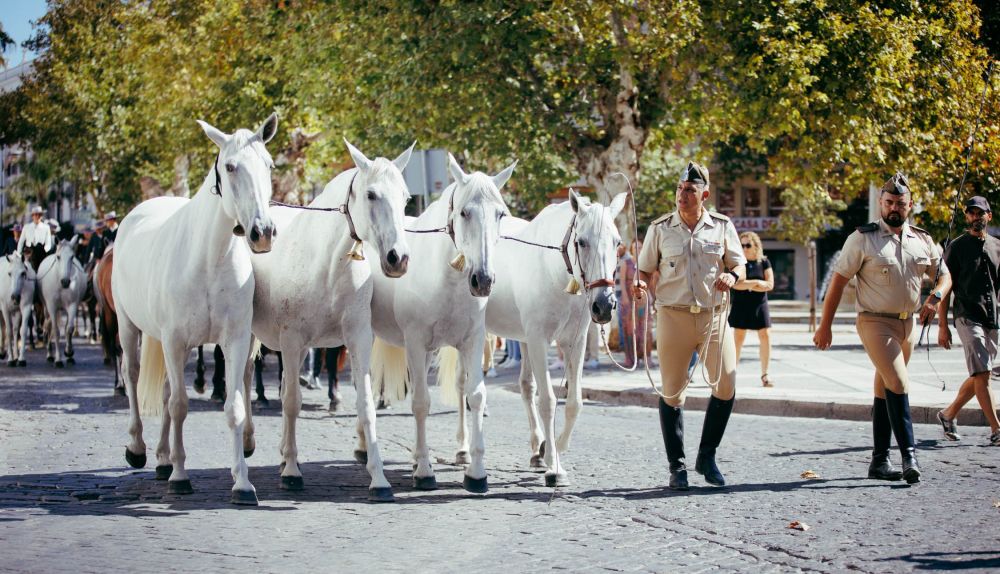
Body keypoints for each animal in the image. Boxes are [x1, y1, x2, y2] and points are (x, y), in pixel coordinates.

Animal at [38, 237, 87, 368]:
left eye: (72, 257)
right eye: (58, 257)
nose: (65, 281)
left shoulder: (73, 305)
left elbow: (69, 329)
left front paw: (69, 352)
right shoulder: (52, 306)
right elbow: (55, 330)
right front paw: (58, 360)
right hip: (46, 308)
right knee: (48, 325)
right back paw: (49, 354)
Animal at [113, 113, 278, 505]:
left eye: (269, 165)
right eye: (230, 167)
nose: (262, 231)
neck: (207, 260)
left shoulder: (234, 340)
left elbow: (232, 406)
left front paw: (242, 483)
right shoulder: (174, 341)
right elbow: (179, 406)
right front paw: (180, 476)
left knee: (166, 390)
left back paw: (162, 457)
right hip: (129, 326)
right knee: (133, 375)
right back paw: (139, 449)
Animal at [248, 140, 413, 500]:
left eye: (406, 197)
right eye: (371, 194)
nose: (399, 258)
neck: (326, 265)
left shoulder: (358, 338)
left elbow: (365, 404)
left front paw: (379, 478)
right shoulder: (292, 340)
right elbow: (291, 402)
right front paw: (292, 473)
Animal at [369, 154, 515, 493]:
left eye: (500, 213)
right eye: (464, 212)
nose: (483, 280)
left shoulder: (472, 340)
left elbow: (475, 395)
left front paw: (476, 473)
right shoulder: (415, 342)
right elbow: (421, 402)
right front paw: (424, 471)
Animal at [439, 191, 626, 486]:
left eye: (618, 243)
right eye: (581, 242)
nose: (605, 305)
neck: (553, 273)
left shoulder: (575, 342)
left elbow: (574, 402)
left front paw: (552, 448)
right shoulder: (538, 339)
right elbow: (548, 401)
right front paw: (555, 467)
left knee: (526, 386)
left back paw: (537, 451)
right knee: (460, 384)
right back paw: (463, 449)